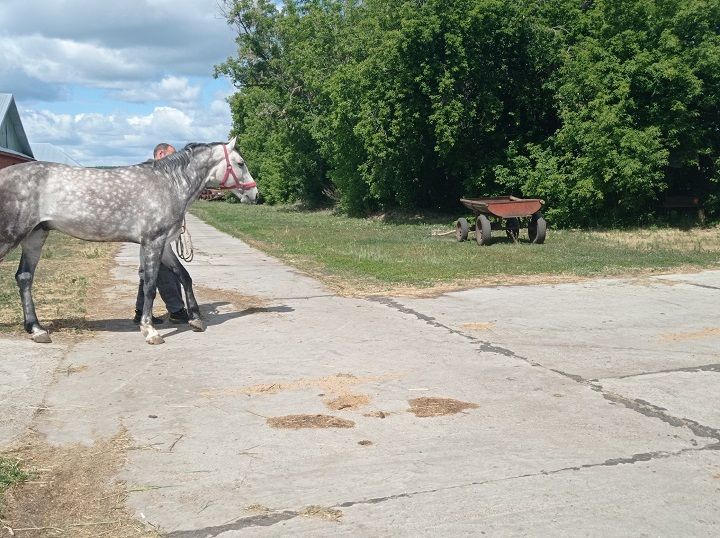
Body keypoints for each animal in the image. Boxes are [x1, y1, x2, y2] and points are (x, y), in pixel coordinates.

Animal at [0, 137, 258, 344]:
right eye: (240, 163)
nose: (255, 194)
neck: (168, 184)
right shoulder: (153, 241)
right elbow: (151, 285)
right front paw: (150, 330)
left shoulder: (163, 244)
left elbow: (183, 276)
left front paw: (195, 319)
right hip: (11, 236)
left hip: (35, 236)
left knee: (24, 277)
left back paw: (36, 329)